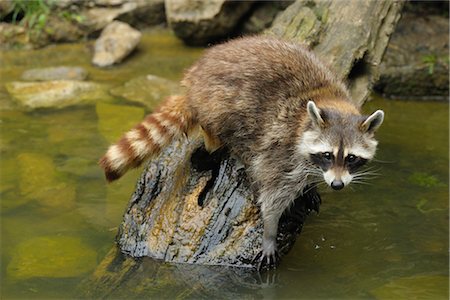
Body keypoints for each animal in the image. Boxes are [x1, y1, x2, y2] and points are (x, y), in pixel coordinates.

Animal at [100, 36, 384, 270]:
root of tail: (194, 81)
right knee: (217, 129)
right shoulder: (281, 146)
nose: (337, 185)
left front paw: (310, 186)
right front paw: (270, 231)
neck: (325, 98)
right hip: (216, 102)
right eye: (327, 154)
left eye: (351, 158)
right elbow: (272, 192)